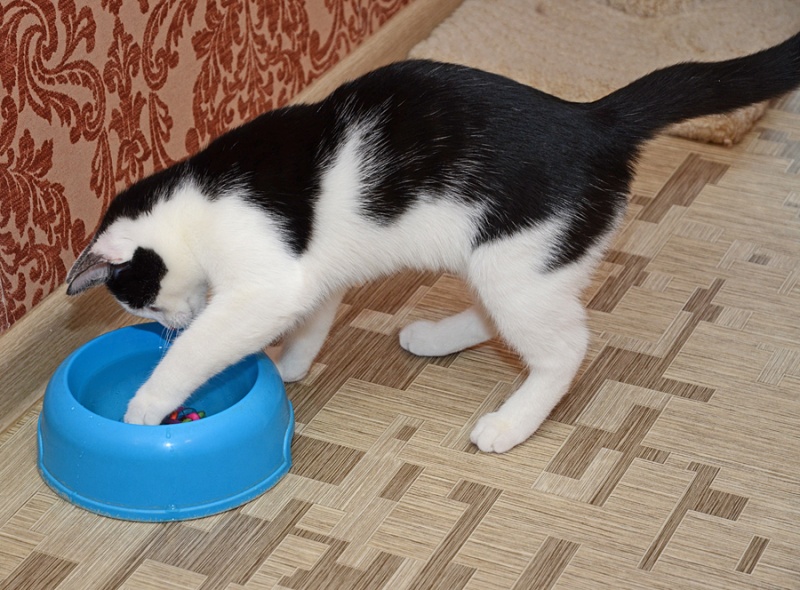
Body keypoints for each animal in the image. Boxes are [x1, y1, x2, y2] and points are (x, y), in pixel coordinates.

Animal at [66, 32, 800, 453]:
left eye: (142, 303)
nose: (167, 322)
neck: (193, 199)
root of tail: (592, 120)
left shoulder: (264, 281)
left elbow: (205, 348)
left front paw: (147, 402)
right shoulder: (312, 277)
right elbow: (313, 317)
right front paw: (291, 363)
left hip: (516, 263)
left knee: (565, 347)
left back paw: (510, 424)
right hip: (503, 262)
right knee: (504, 319)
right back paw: (436, 338)